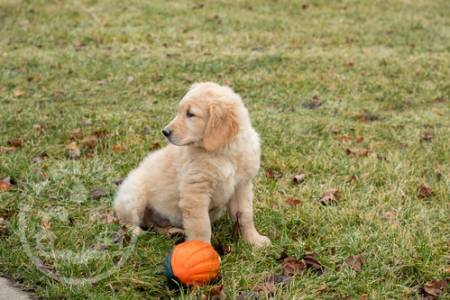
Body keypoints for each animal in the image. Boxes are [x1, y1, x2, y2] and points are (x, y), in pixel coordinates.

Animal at [114, 81, 270, 246]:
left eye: (190, 114)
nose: (165, 132)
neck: (223, 152)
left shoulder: (241, 186)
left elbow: (245, 216)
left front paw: (254, 240)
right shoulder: (195, 191)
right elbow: (201, 226)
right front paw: (202, 248)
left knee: (153, 225)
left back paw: (173, 232)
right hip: (133, 195)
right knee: (127, 221)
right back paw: (136, 232)